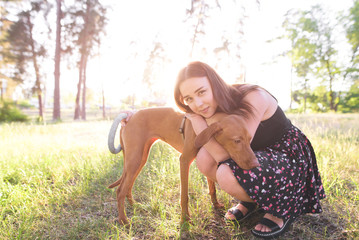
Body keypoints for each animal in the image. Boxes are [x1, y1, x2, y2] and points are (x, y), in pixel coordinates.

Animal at [107, 107, 258, 225]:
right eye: (237, 140)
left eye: (250, 139)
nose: (256, 164)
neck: (203, 126)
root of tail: (130, 116)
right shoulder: (184, 161)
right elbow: (184, 196)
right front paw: (185, 219)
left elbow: (212, 189)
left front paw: (215, 205)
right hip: (135, 159)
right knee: (120, 190)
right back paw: (123, 220)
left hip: (139, 159)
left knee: (128, 185)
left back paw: (134, 205)